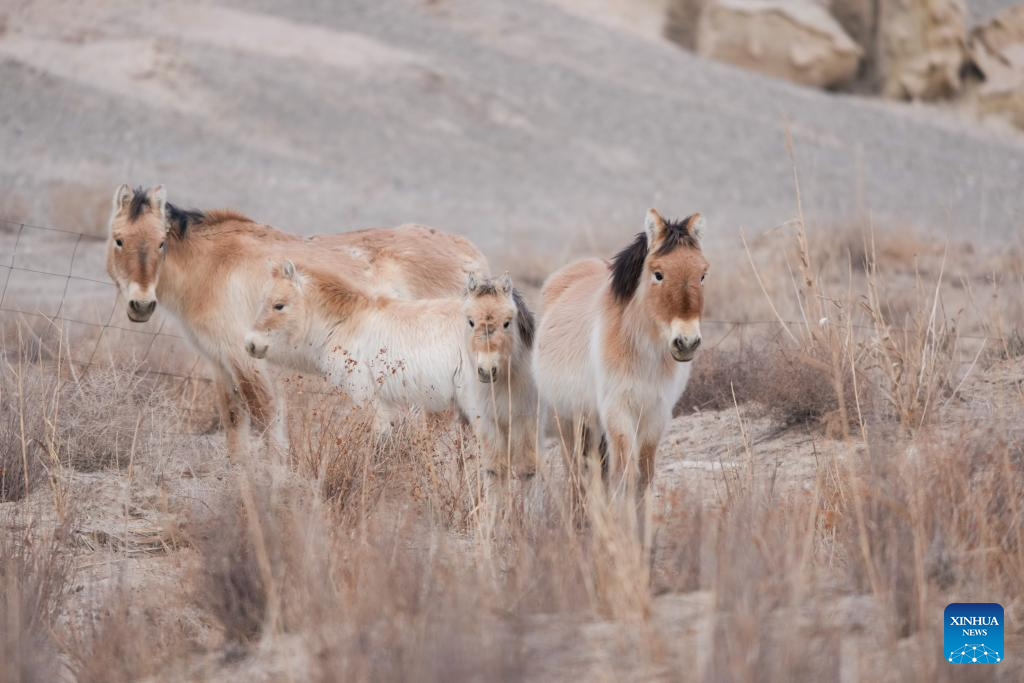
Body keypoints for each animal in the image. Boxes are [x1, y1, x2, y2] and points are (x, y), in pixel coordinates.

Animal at [105, 184, 488, 459]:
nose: (141, 304)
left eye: (161, 243)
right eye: (118, 240)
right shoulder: (220, 362)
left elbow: (267, 421)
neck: (213, 264)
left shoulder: (247, 360)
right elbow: (234, 424)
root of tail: (472, 258)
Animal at [532, 208, 708, 509]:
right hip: (568, 421)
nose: (686, 342)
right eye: (658, 274)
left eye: (703, 274)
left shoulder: (655, 415)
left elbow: (644, 477)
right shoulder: (618, 412)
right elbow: (624, 476)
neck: (643, 352)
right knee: (576, 473)